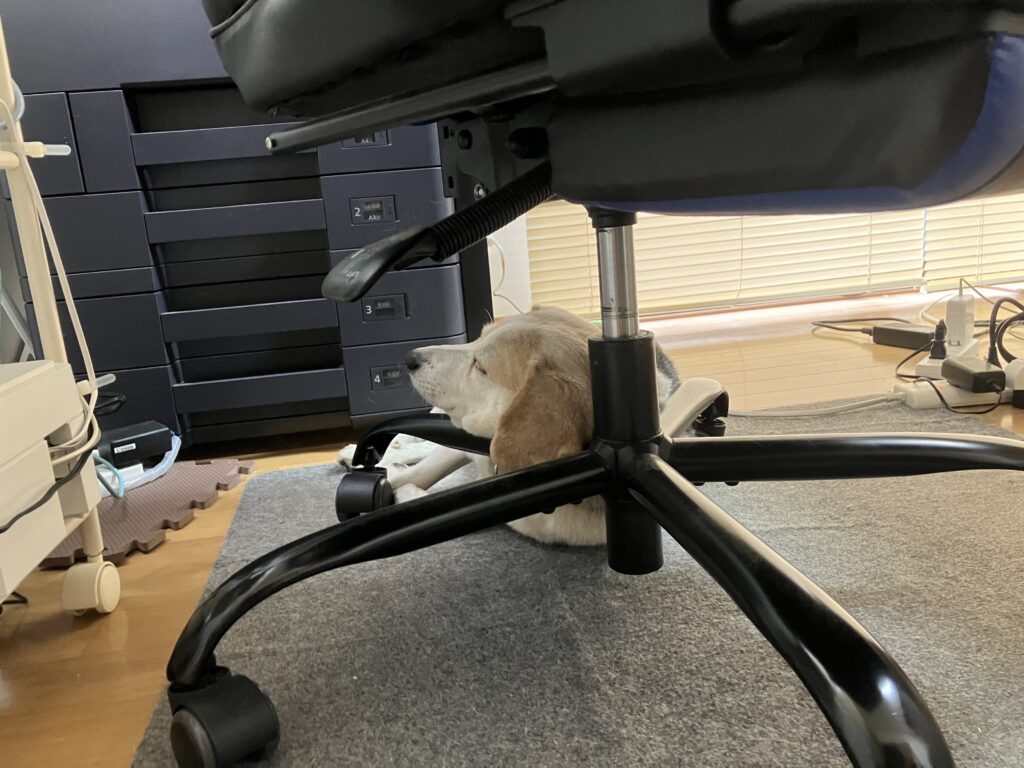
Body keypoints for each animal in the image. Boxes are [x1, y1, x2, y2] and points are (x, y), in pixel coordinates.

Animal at [342, 306, 681, 546]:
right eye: (478, 336)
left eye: (480, 367)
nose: (410, 357)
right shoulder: (467, 441)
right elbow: (424, 468)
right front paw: (387, 478)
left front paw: (399, 493)